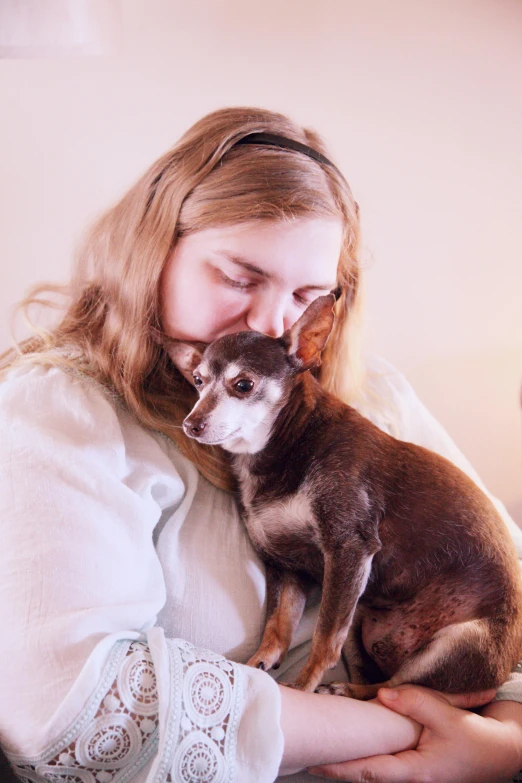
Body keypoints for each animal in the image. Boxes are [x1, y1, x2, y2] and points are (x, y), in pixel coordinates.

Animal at [166, 296, 520, 700]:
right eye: (198, 381)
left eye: (243, 384)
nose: (191, 424)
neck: (283, 445)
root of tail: (493, 681)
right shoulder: (286, 564)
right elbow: (277, 625)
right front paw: (258, 662)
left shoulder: (348, 549)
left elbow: (324, 638)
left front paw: (303, 684)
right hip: (359, 606)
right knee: (374, 677)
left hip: (451, 643)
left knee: (392, 689)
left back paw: (343, 689)